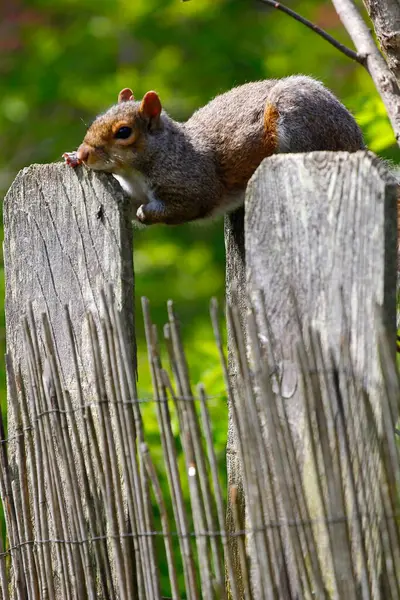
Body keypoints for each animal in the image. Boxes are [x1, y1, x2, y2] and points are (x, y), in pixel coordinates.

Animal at [63, 75, 366, 225]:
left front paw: (145, 214)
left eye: (124, 132)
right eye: (96, 120)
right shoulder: (131, 194)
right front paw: (72, 157)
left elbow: (185, 207)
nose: (86, 152)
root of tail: (357, 142)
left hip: (298, 120)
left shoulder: (192, 185)